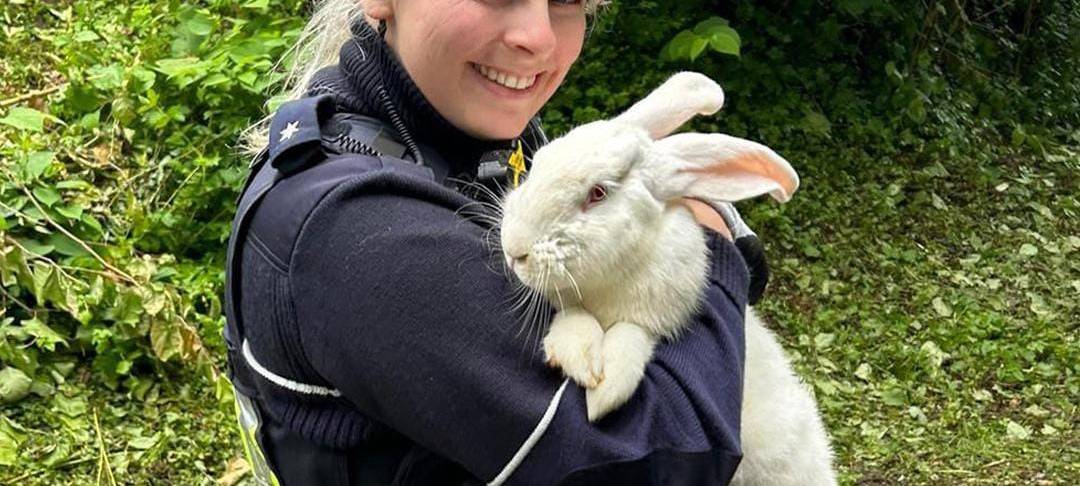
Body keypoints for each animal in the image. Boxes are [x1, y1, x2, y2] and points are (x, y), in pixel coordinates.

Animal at [499, 72, 836, 485]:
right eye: (538, 164)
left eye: (598, 193)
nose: (514, 249)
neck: (603, 286)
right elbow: (573, 318)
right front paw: (579, 357)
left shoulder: (662, 309)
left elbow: (633, 333)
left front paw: (608, 384)